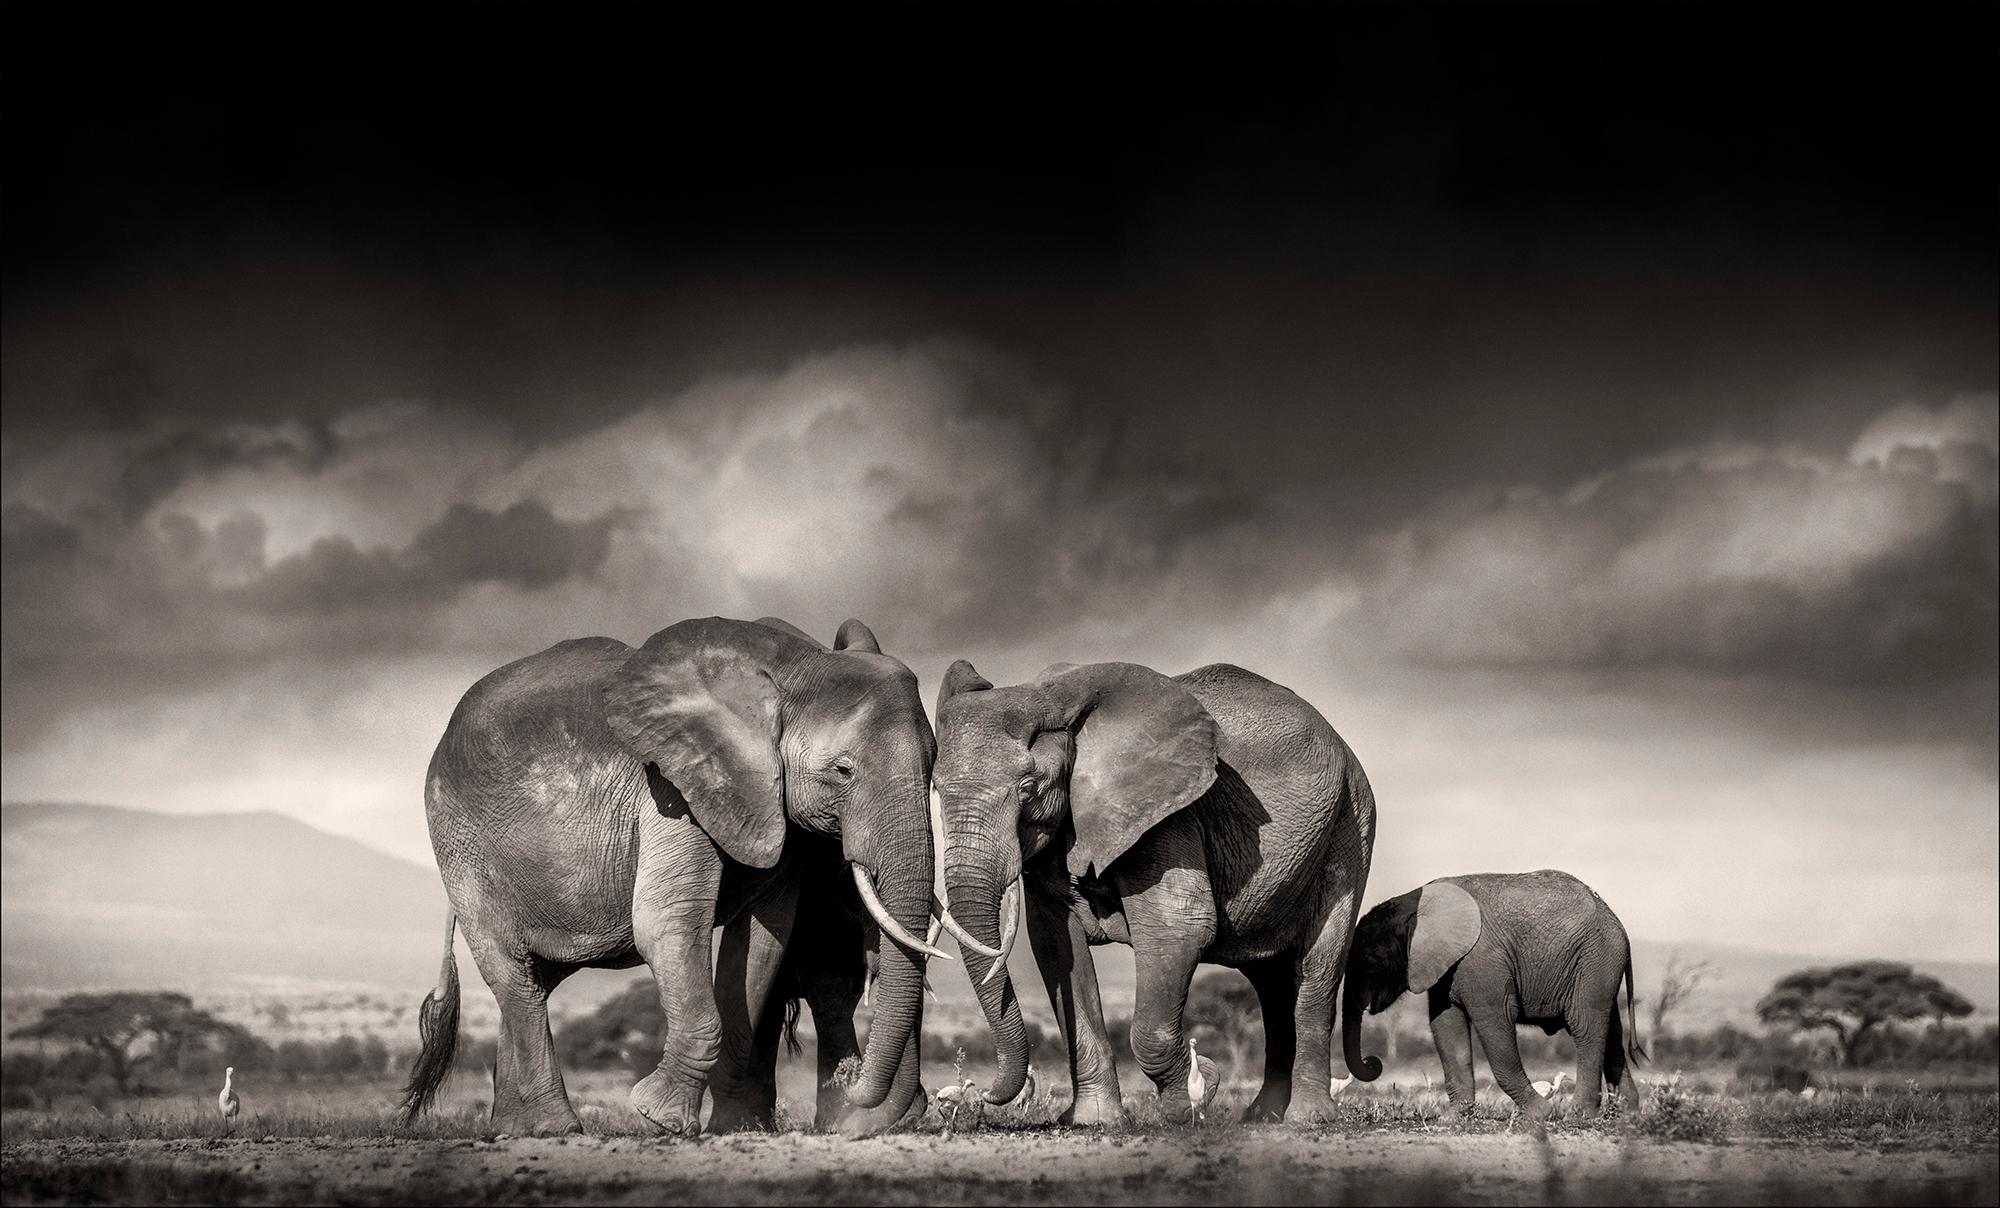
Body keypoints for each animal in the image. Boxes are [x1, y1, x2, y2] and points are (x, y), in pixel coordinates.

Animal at [398, 620, 952, 1136]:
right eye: (842, 770)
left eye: (933, 769)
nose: (853, 1084)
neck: (790, 668)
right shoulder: (673, 787)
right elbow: (666, 924)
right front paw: (660, 1117)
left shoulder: (774, 813)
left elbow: (761, 946)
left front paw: (732, 1128)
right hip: (461, 846)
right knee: (512, 971)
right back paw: (558, 1127)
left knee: (536, 980)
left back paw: (513, 1128)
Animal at [932, 660, 1376, 1120]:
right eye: (936, 789)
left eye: (1027, 788)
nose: (986, 1093)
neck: (1054, 699)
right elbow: (1058, 947)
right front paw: (1095, 1121)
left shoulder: (1169, 817)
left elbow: (1178, 930)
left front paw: (1193, 1098)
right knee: (1270, 982)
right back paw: (1262, 1116)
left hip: (1350, 825)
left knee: (1318, 969)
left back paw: (1306, 1117)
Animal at [1344, 864, 1640, 1120]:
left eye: (1370, 962)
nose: (1373, 1063)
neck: (1413, 904)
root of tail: (1619, 926)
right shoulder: (1447, 965)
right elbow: (1446, 1026)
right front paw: (1453, 1117)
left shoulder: (1481, 960)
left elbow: (1495, 1021)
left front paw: (1541, 1113)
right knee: (1612, 1031)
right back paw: (1626, 1113)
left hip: (1595, 958)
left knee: (1584, 1026)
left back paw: (1579, 1115)